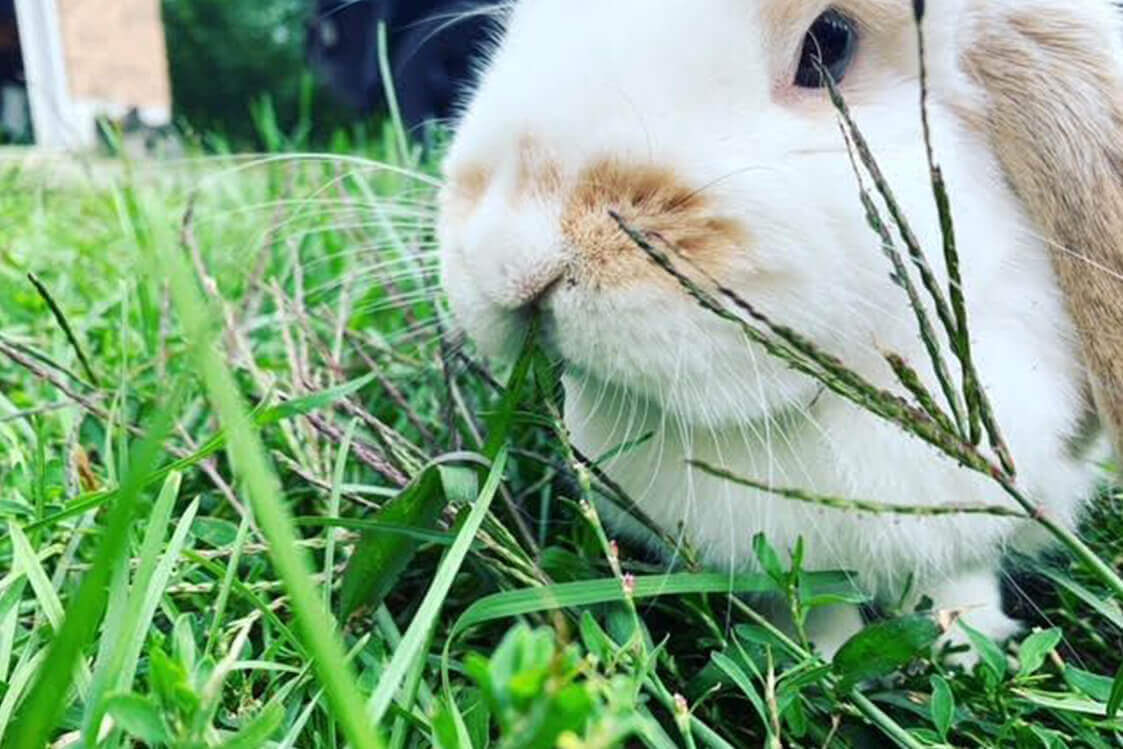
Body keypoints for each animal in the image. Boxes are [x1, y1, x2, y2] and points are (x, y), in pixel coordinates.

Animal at [436, 0, 1123, 658]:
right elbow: (814, 610)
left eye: (828, 46)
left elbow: (957, 581)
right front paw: (816, 654)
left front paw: (964, 646)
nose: (514, 256)